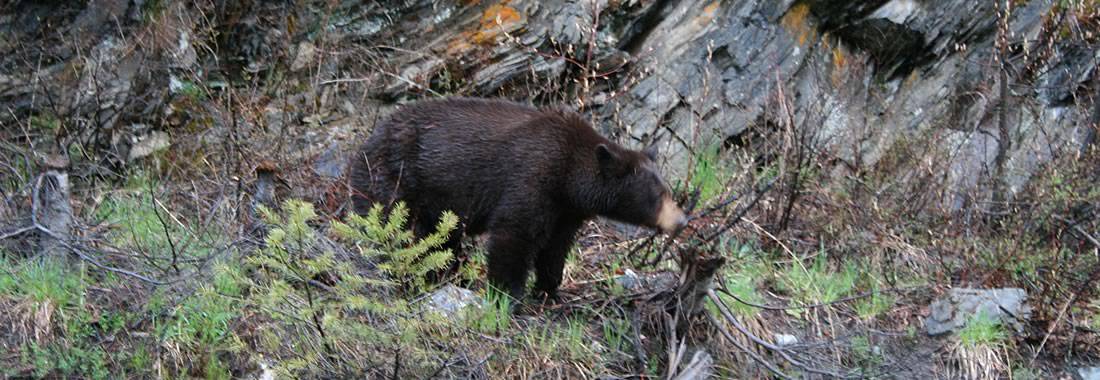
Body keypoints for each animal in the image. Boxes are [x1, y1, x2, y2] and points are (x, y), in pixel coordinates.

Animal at [347, 96, 682, 299]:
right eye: (656, 195)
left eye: (667, 190)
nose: (682, 219)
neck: (570, 175)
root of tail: (365, 142)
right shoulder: (533, 177)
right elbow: (515, 233)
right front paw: (507, 295)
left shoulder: (566, 210)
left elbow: (555, 247)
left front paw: (548, 289)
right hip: (395, 179)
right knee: (398, 231)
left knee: (441, 240)